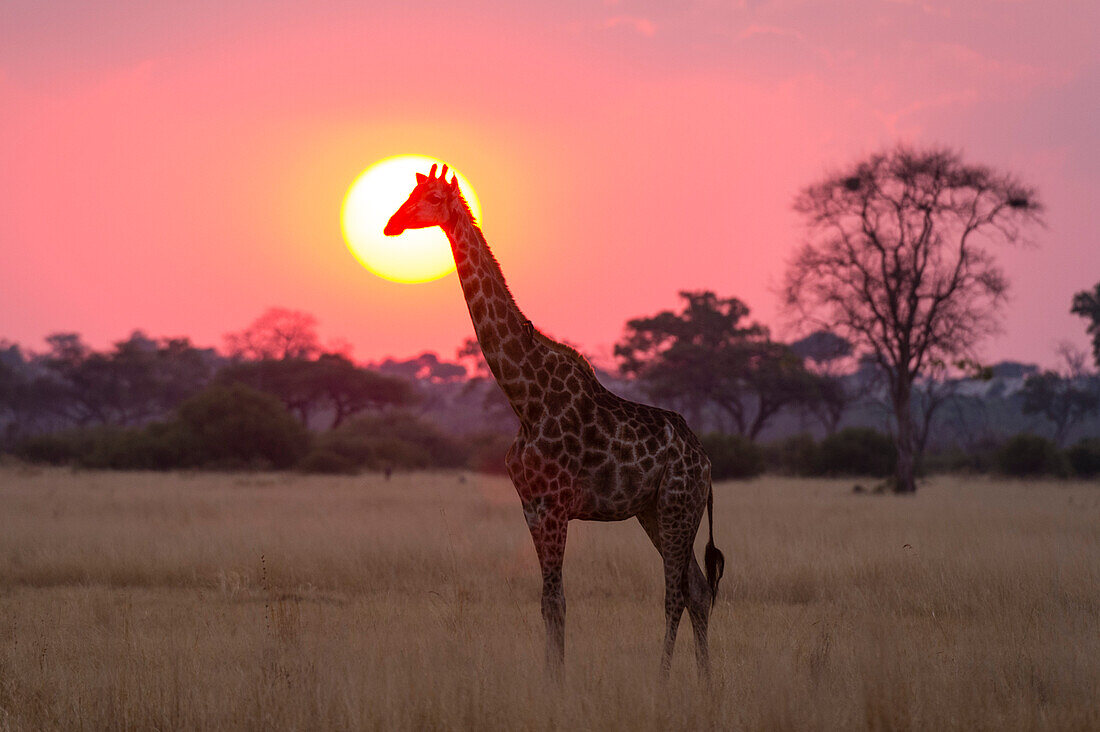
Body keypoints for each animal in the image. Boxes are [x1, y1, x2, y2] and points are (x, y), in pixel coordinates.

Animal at [382, 165, 726, 678]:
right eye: (410, 193)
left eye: (431, 198)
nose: (391, 224)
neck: (525, 397)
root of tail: (705, 461)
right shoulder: (530, 504)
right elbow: (547, 602)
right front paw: (552, 678)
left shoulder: (555, 504)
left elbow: (557, 601)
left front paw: (556, 683)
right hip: (653, 509)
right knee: (699, 590)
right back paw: (705, 684)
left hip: (677, 505)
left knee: (676, 593)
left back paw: (663, 680)